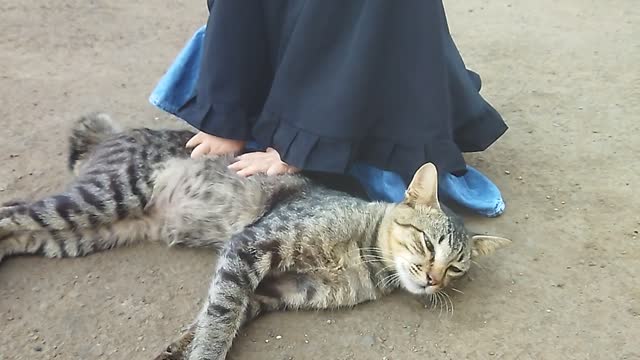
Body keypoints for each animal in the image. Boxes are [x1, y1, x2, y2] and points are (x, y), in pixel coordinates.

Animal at [0, 113, 510, 360]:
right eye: (427, 244)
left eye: (456, 268)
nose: (433, 279)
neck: (365, 258)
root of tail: (121, 133)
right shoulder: (251, 247)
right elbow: (220, 318)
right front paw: (203, 354)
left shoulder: (277, 291)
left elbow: (213, 316)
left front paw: (180, 348)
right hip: (104, 199)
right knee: (14, 215)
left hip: (82, 232)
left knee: (18, 225)